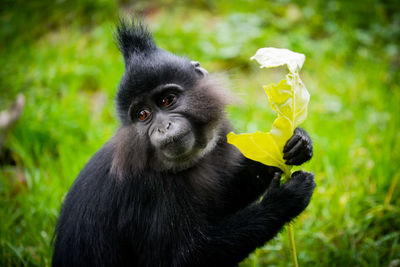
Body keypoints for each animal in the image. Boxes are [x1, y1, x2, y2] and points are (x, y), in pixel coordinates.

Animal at [53, 18, 316, 267]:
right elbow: (177, 259)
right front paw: (284, 199)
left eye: (166, 100)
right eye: (143, 115)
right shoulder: (145, 189)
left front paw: (298, 143)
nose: (163, 127)